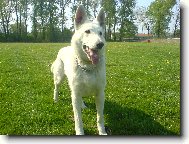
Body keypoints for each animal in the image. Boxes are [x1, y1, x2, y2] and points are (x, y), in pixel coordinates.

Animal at [51, 4, 107, 135]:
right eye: (87, 31)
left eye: (101, 33)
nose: (100, 44)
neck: (87, 67)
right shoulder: (75, 95)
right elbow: (78, 119)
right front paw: (80, 132)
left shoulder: (100, 94)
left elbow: (100, 117)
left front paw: (102, 132)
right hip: (60, 78)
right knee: (56, 87)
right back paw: (56, 99)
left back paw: (83, 105)